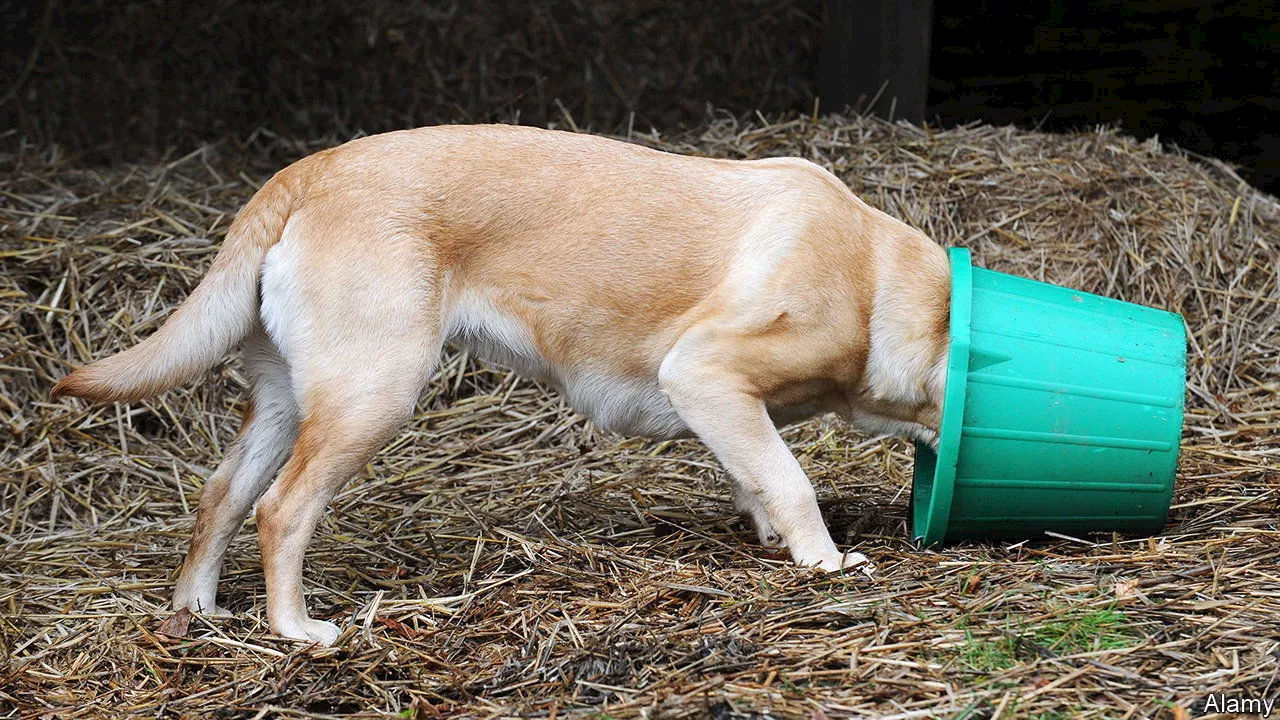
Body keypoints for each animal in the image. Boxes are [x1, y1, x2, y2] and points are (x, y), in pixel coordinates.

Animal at [52, 120, 952, 640]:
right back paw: (298, 629)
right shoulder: (704, 373)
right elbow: (792, 481)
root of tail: (306, 172)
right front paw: (825, 563)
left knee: (222, 495)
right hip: (373, 396)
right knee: (282, 511)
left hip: (287, 400)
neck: (872, 277)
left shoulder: (728, 407)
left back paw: (197, 609)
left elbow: (755, 474)